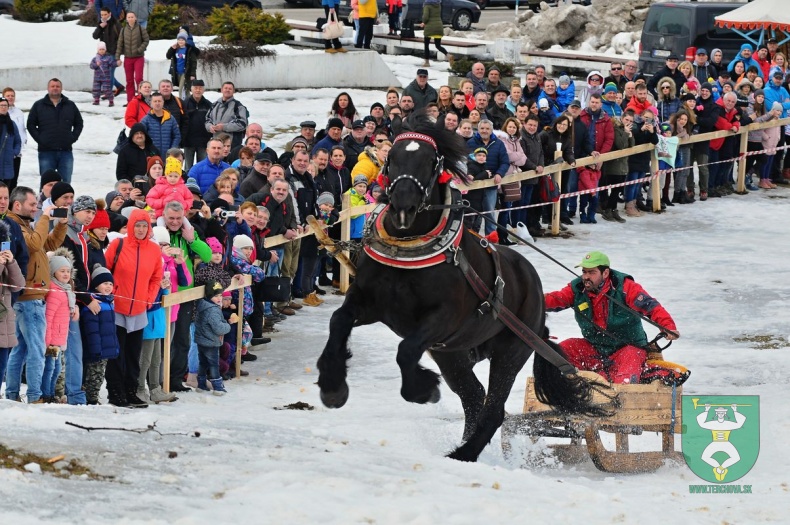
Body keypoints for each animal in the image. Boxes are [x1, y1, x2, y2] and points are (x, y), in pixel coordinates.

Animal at [318, 112, 608, 460]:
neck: (409, 250)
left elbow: (406, 350)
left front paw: (423, 390)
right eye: (392, 157)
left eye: (430, 161)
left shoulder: (443, 319)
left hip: (509, 352)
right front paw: (332, 386)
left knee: (493, 408)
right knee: (473, 396)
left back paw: (465, 453)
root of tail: (537, 299)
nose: (402, 204)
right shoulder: (369, 301)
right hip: (451, 353)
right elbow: (338, 321)